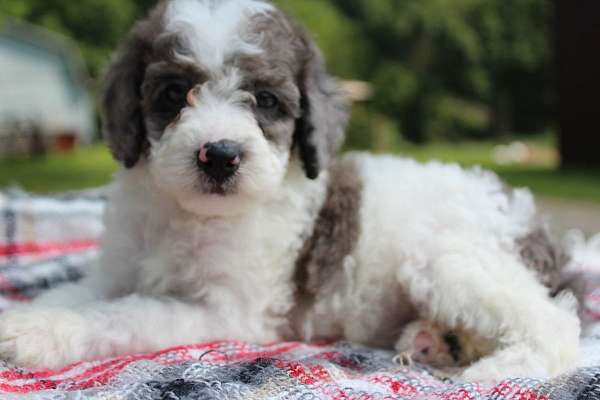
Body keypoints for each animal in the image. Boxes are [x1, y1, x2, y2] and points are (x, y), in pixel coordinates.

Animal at [0, 0, 580, 382]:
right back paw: (435, 341)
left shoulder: (228, 311)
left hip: (448, 260)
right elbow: (76, 294)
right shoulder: (115, 270)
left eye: (266, 101)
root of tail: (538, 225)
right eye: (173, 94)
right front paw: (29, 319)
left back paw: (493, 372)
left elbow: (124, 314)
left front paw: (38, 333)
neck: (190, 214)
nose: (220, 155)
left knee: (557, 325)